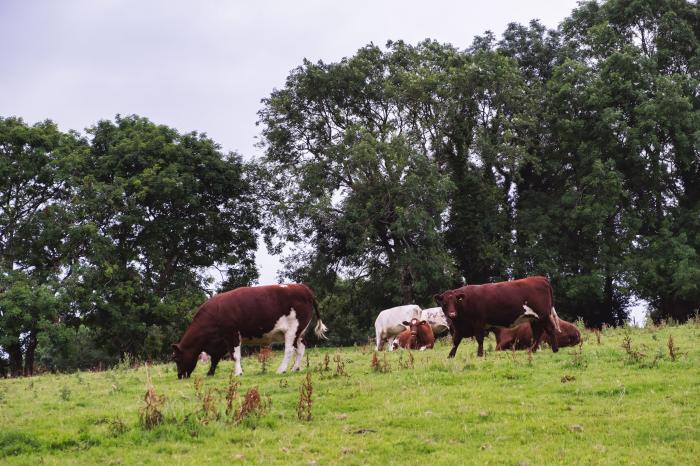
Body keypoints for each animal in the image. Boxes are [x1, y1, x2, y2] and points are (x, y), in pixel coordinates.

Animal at [174, 284, 330, 378]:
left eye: (176, 358)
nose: (180, 376)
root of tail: (302, 287)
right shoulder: (221, 342)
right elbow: (215, 359)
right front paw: (210, 373)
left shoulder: (232, 334)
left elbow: (235, 356)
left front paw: (238, 373)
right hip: (300, 333)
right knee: (301, 349)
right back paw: (294, 368)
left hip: (292, 330)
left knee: (289, 350)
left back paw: (281, 370)